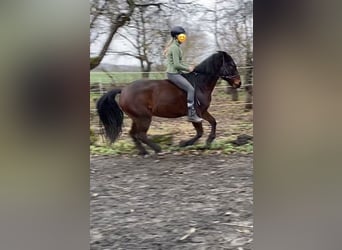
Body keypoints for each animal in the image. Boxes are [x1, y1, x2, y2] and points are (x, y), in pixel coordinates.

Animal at [95, 51, 240, 154]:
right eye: (231, 65)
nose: (239, 83)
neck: (200, 84)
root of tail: (124, 89)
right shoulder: (196, 114)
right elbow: (200, 132)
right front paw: (184, 143)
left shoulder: (204, 112)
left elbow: (214, 122)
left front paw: (208, 142)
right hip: (144, 117)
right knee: (141, 134)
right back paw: (157, 149)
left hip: (136, 118)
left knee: (133, 134)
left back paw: (144, 152)